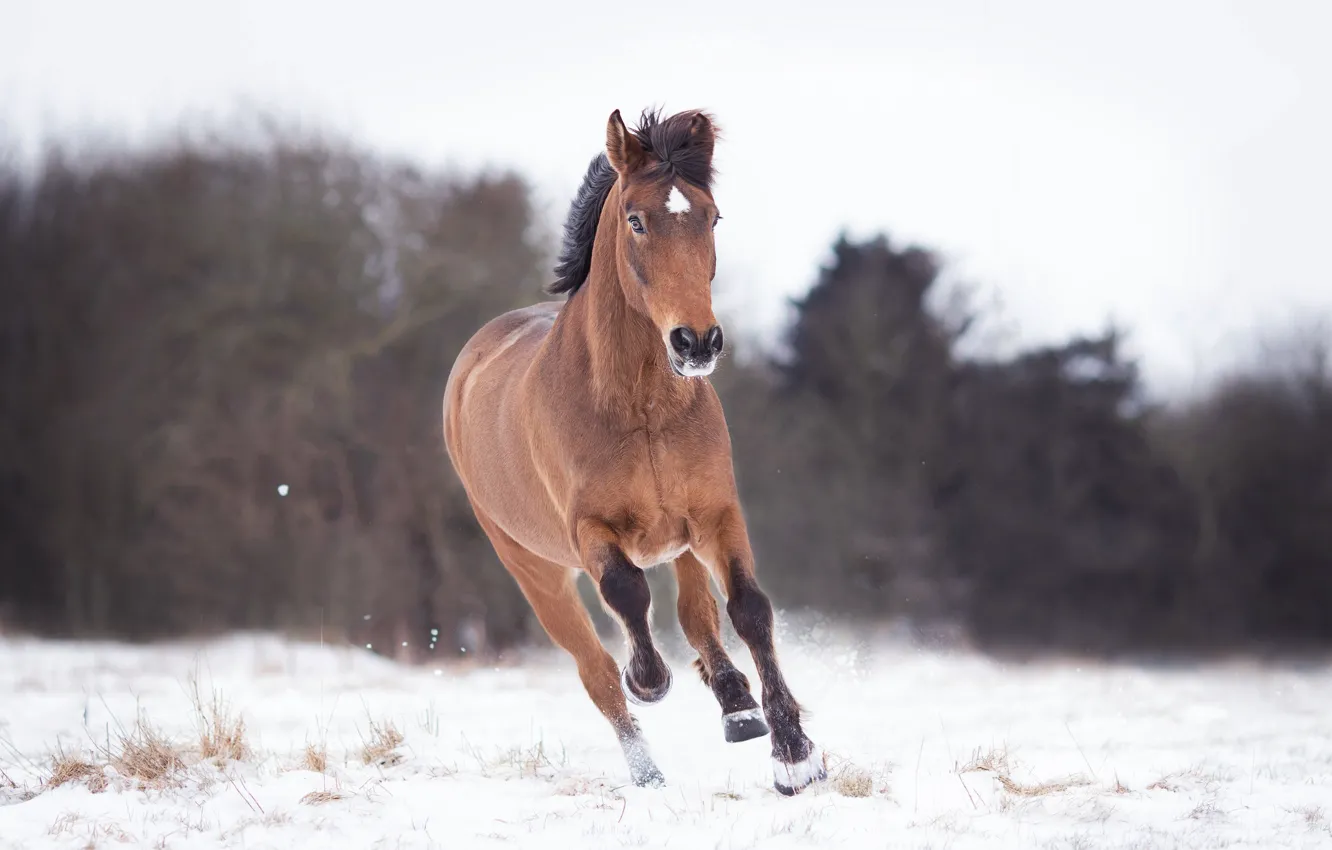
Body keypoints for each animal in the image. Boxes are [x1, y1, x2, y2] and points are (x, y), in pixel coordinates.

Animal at [441, 107, 826, 795]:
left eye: (712, 216)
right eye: (636, 220)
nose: (696, 342)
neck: (641, 405)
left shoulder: (714, 515)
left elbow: (747, 610)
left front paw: (794, 755)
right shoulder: (591, 530)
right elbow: (626, 595)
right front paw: (649, 678)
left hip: (679, 539)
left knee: (697, 615)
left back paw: (736, 706)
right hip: (535, 569)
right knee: (594, 670)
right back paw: (648, 771)